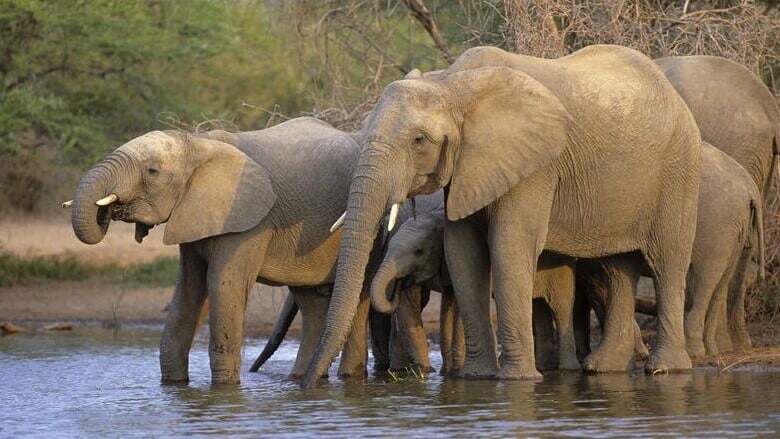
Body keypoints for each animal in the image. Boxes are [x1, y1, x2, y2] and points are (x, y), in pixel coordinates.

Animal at [67, 117, 382, 384]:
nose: (107, 211)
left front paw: (225, 390)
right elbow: (188, 292)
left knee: (355, 299)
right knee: (311, 302)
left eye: (152, 171)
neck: (198, 143)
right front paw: (174, 386)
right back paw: (301, 379)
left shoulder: (249, 221)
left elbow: (224, 287)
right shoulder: (195, 216)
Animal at [301, 45, 702, 387]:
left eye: (419, 141)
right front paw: (477, 378)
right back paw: (605, 369)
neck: (451, 82)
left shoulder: (536, 166)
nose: (307, 385)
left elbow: (509, 248)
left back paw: (667, 370)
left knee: (667, 262)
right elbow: (463, 253)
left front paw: (518, 381)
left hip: (678, 170)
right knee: (620, 267)